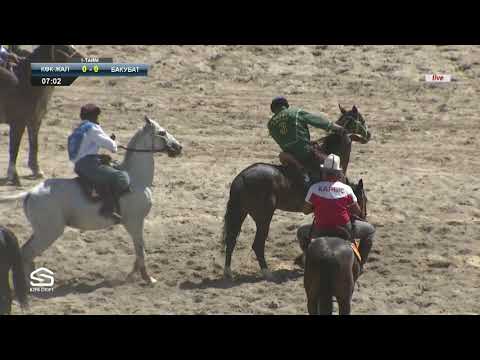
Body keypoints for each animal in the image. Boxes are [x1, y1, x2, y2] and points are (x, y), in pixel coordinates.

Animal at [0, 44, 83, 184]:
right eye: (65, 48)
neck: (24, 84)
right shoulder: (18, 123)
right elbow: (14, 149)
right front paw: (14, 176)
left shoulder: (34, 121)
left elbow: (34, 145)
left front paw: (36, 170)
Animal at [0, 116, 182, 286]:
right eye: (162, 132)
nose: (179, 147)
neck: (135, 180)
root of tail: (30, 193)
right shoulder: (134, 222)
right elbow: (140, 249)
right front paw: (147, 278)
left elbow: (139, 250)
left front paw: (132, 276)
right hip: (48, 233)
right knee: (26, 254)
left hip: (41, 232)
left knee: (26, 255)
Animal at [221, 105, 372, 280]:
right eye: (361, 119)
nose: (369, 134)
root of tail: (242, 177)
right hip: (263, 218)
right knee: (257, 244)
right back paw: (267, 273)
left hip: (240, 213)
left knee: (231, 240)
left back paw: (228, 272)